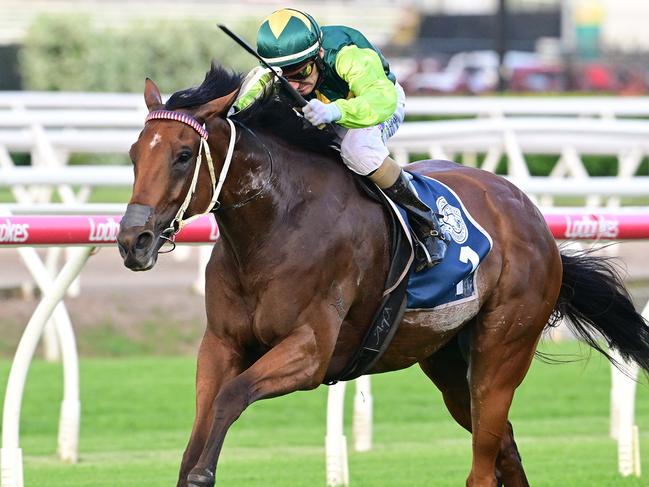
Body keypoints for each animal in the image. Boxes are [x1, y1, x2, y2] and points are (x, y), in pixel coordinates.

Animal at [116, 65, 648, 487]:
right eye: (134, 154)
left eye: (183, 155)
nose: (132, 240)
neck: (275, 225)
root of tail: (531, 215)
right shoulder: (221, 343)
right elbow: (201, 422)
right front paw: (194, 466)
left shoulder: (310, 351)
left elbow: (231, 397)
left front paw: (206, 471)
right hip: (446, 359)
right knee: (506, 450)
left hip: (503, 348)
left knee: (483, 464)